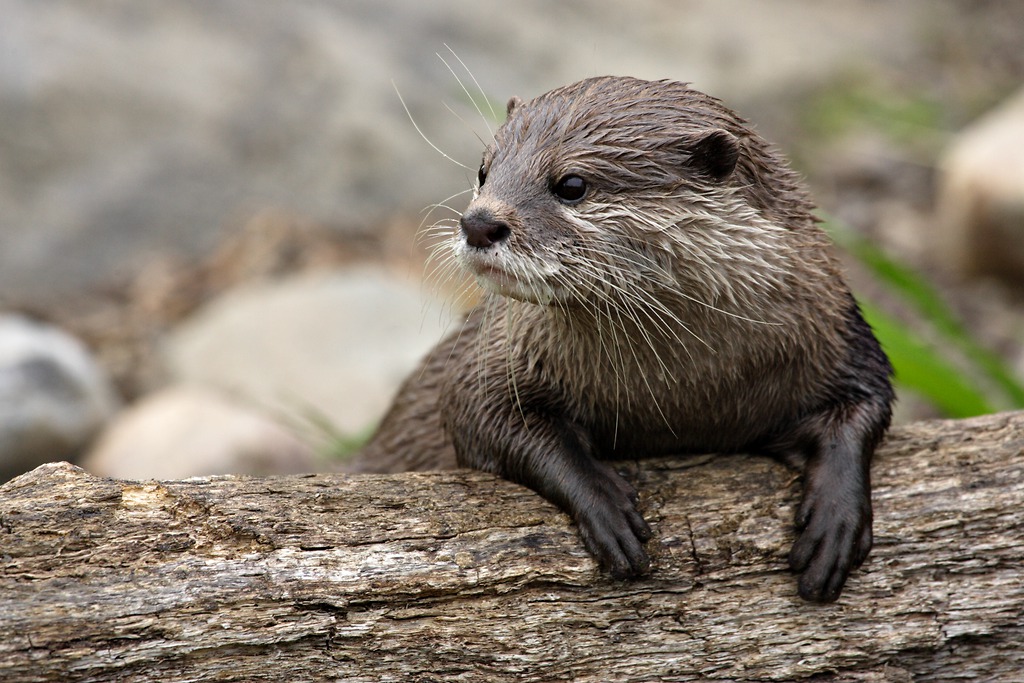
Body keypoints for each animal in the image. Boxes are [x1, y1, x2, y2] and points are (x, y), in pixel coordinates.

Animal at [350, 76, 894, 603]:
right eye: (484, 171)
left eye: (571, 185)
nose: (478, 222)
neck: (682, 392)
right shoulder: (491, 355)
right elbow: (478, 413)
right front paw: (604, 502)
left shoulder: (836, 329)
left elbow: (866, 404)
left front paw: (836, 518)